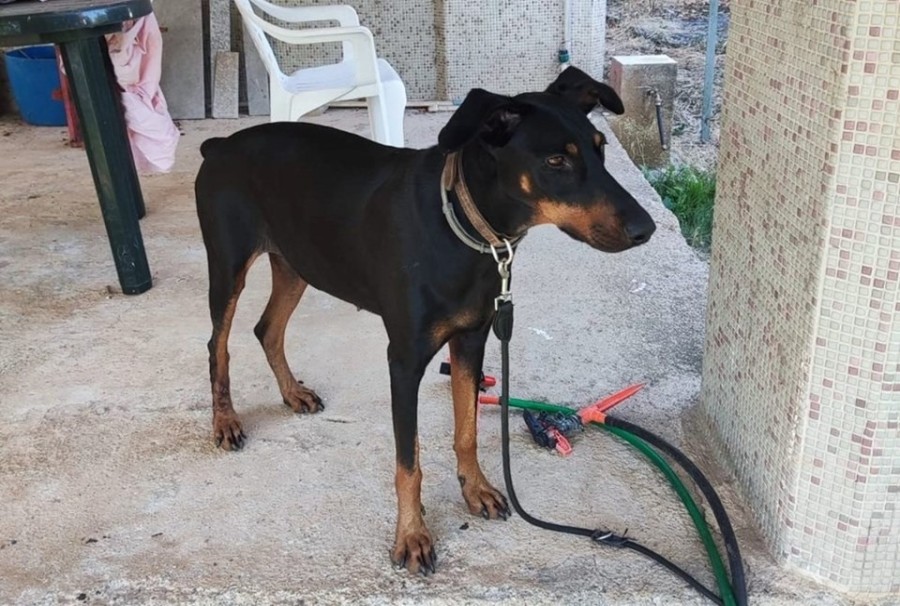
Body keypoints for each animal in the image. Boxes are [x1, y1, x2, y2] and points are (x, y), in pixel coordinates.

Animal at [195, 66, 656, 575]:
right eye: (556, 160)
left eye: (601, 147)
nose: (646, 229)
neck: (465, 228)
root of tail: (219, 146)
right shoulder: (404, 360)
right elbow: (408, 462)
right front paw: (412, 536)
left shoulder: (472, 340)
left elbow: (467, 430)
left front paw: (476, 489)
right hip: (229, 265)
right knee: (218, 344)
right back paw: (225, 421)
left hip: (299, 262)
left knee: (267, 328)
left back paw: (292, 392)